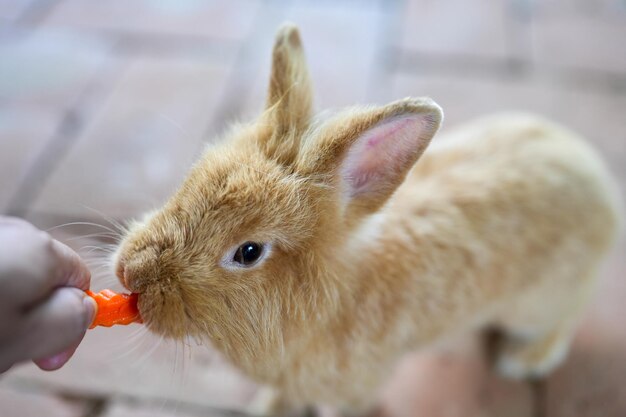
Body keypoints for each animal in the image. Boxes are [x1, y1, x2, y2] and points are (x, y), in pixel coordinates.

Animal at [112, 24, 620, 414]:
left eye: (248, 252)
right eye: (189, 180)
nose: (131, 274)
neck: (329, 302)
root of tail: (603, 188)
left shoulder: (355, 385)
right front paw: (266, 410)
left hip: (537, 304)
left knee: (567, 317)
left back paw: (525, 359)